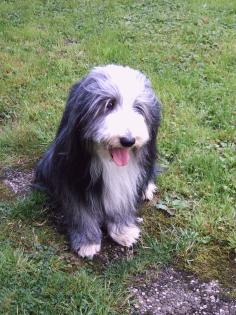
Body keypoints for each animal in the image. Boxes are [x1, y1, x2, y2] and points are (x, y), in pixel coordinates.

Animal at [34, 65, 160, 260]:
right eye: (109, 104)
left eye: (138, 108)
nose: (128, 140)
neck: (109, 162)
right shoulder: (72, 177)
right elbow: (81, 211)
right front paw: (87, 242)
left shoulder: (126, 182)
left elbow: (121, 204)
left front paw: (123, 231)